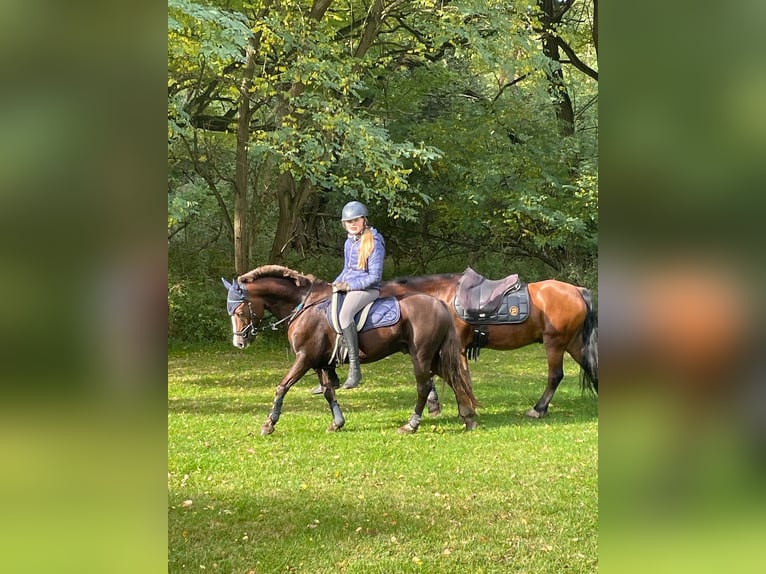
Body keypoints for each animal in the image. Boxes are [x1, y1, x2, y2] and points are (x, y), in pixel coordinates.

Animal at [223, 265, 479, 435]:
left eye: (239, 311)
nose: (239, 343)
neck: (304, 306)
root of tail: (439, 304)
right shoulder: (321, 362)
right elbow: (328, 392)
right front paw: (337, 423)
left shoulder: (304, 358)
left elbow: (282, 386)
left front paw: (269, 423)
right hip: (433, 356)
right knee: (454, 378)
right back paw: (468, 418)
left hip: (422, 356)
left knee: (424, 387)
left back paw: (411, 424)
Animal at [379, 270, 598, 418]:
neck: (441, 298)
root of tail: (578, 290)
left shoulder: (456, 349)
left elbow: (458, 377)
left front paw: (466, 409)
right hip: (573, 343)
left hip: (555, 342)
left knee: (555, 376)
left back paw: (538, 409)